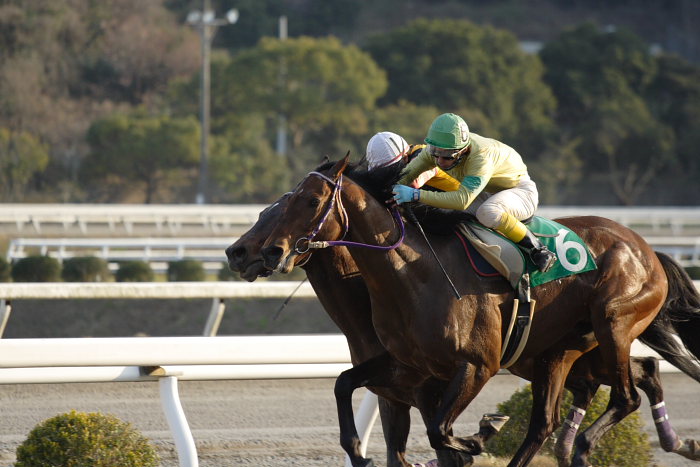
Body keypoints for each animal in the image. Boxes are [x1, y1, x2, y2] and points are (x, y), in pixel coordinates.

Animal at [258, 158, 700, 467]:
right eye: (284, 200)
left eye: (311, 201)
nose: (270, 251)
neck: (412, 274)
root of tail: (647, 249)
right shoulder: (406, 365)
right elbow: (344, 384)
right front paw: (360, 450)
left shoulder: (475, 365)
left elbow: (440, 431)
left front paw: (480, 434)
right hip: (562, 351)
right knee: (552, 418)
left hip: (612, 321)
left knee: (625, 397)